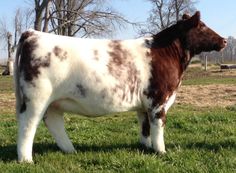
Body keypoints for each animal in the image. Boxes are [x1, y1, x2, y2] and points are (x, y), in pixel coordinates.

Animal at [14, 11, 227, 162]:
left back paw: (70, 150)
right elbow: (158, 126)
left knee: (53, 122)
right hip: (36, 97)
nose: (224, 40)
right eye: (202, 26)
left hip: (54, 101)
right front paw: (161, 151)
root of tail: (32, 33)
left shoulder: (144, 104)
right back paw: (26, 160)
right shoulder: (158, 100)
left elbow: (144, 126)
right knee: (28, 124)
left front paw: (146, 147)